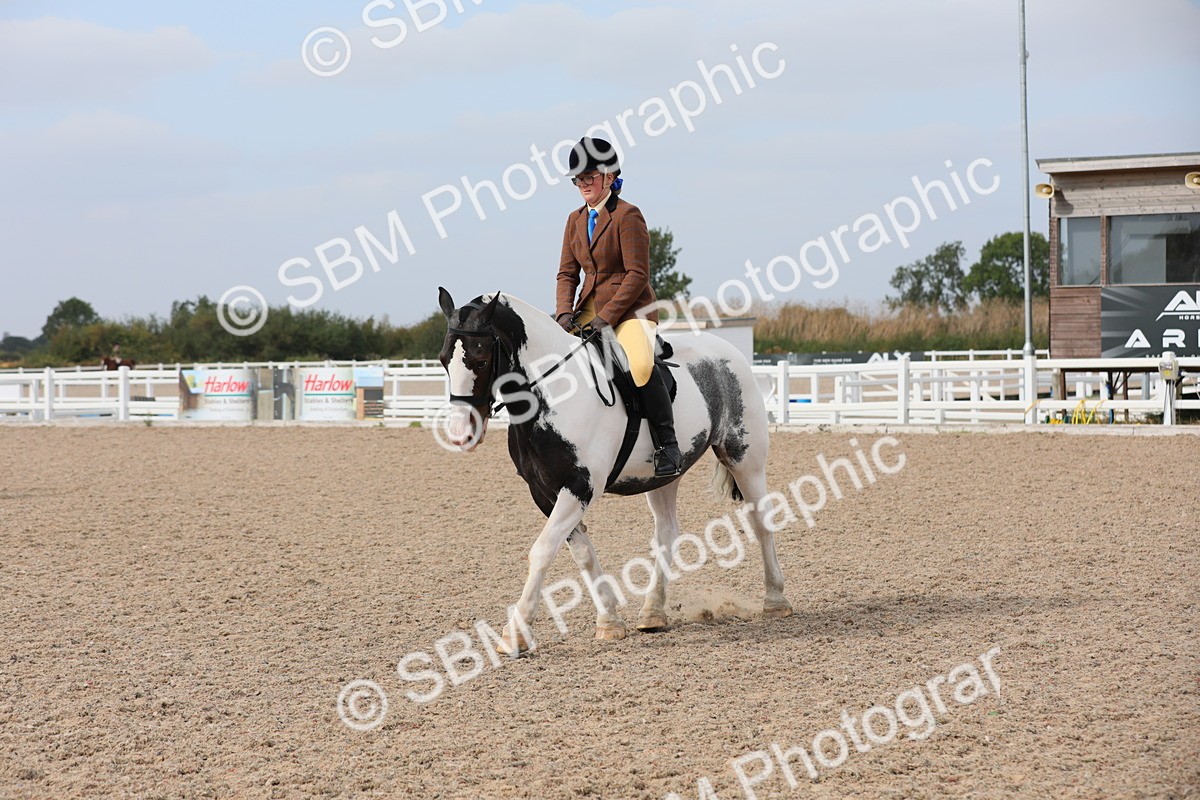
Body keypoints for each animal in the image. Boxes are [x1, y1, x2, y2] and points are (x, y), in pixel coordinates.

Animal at [436, 288, 792, 653]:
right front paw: (609, 621)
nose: (460, 434)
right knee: (666, 532)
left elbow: (542, 551)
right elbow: (581, 554)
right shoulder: (545, 492)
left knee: (760, 522)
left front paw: (516, 633)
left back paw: (775, 600)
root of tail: (728, 352)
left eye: (480, 359)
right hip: (664, 475)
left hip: (745, 460)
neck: (553, 393)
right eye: (443, 359)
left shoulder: (579, 485)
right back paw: (653, 612)